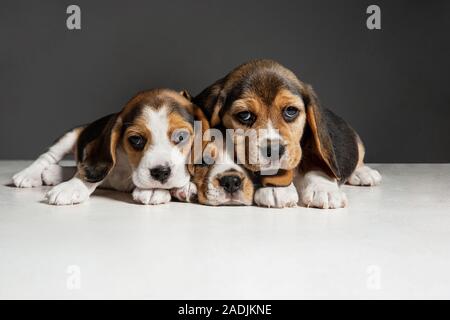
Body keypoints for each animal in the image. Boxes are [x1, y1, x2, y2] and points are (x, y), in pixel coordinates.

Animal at [12, 89, 206, 206]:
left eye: (181, 137)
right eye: (136, 139)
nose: (160, 173)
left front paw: (176, 188)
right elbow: (91, 172)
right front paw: (72, 187)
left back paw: (53, 173)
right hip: (72, 135)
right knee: (48, 157)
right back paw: (28, 175)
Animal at [192, 59, 380, 210]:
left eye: (291, 111)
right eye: (244, 115)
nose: (274, 150)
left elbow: (316, 163)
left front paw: (323, 189)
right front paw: (277, 188)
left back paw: (363, 173)